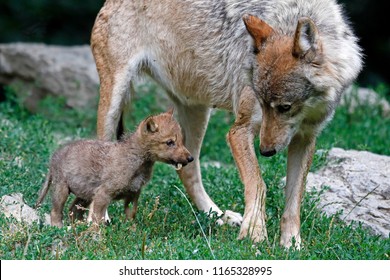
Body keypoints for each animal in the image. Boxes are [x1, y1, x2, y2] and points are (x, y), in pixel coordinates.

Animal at [91, 0, 362, 248]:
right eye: (262, 103)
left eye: (284, 107)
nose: (266, 151)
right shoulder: (239, 131)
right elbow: (258, 183)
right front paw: (254, 233)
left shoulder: (305, 139)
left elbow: (294, 199)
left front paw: (292, 244)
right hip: (115, 98)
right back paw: (99, 218)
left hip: (197, 110)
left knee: (187, 170)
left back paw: (219, 217)